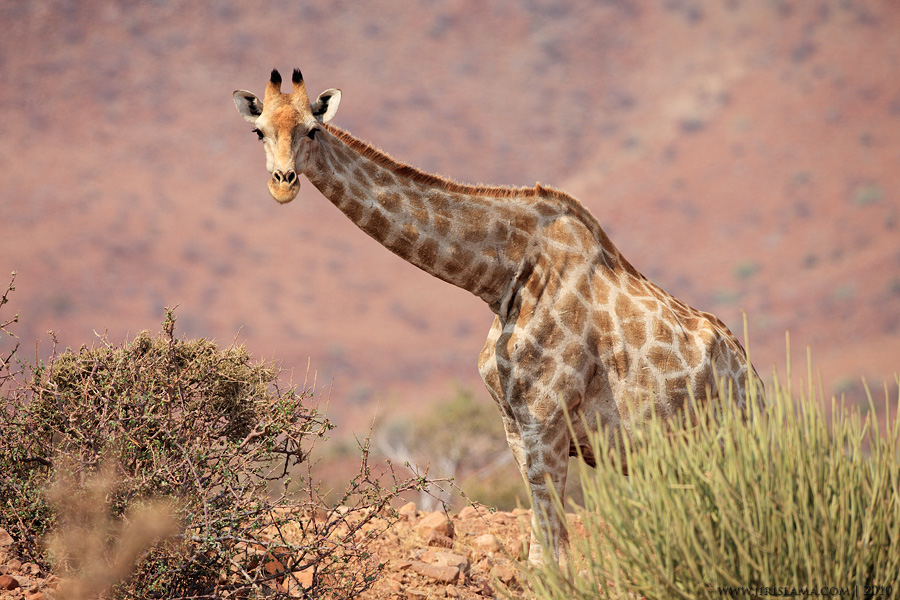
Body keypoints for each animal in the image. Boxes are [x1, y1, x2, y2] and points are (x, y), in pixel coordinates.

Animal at [230, 69, 760, 568]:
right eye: (258, 131)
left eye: (312, 129)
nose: (283, 184)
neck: (499, 278)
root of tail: (751, 374)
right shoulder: (515, 425)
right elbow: (542, 547)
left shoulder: (547, 419)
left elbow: (552, 553)